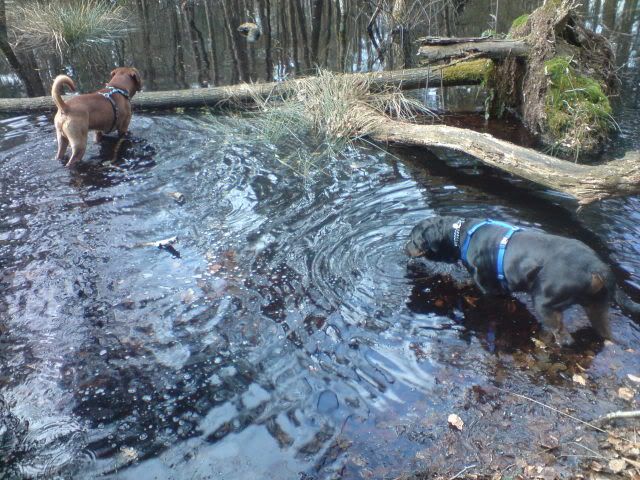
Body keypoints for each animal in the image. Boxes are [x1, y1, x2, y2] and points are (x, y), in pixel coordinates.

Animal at [408, 216, 636, 344]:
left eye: (413, 238)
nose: (404, 246)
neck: (461, 236)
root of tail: (597, 266)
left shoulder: (487, 287)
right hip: (597, 306)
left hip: (545, 302)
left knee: (563, 337)